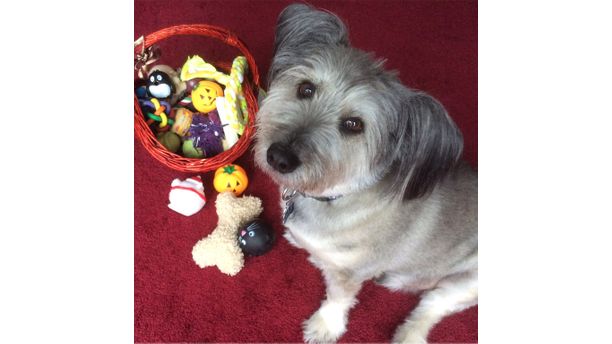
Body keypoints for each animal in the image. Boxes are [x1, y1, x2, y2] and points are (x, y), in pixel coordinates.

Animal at [253, 3, 478, 344]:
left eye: (353, 125)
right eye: (305, 88)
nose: (279, 157)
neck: (336, 193)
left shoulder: (349, 274)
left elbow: (339, 298)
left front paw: (325, 325)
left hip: (465, 283)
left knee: (432, 306)